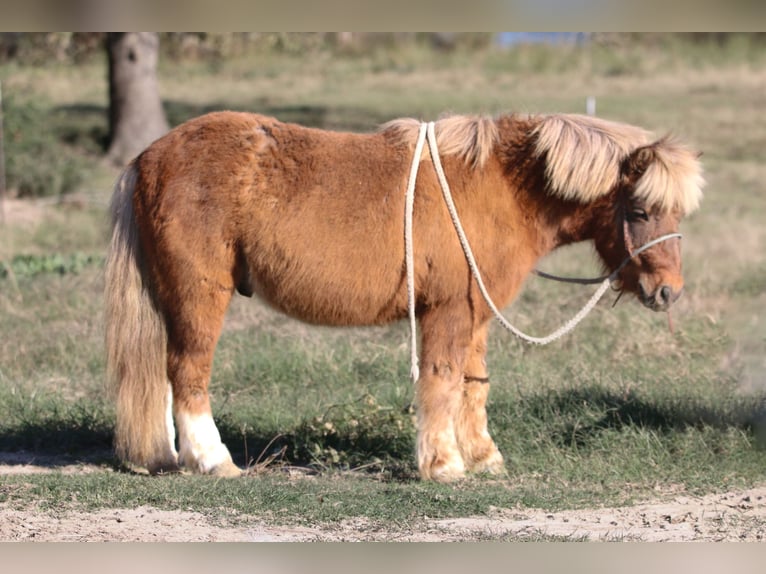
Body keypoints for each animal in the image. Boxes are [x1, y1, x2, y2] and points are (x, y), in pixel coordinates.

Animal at [105, 110, 704, 484]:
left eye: (677, 212)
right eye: (640, 210)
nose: (668, 292)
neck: (500, 190)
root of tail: (149, 158)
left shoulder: (476, 317)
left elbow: (473, 385)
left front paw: (482, 457)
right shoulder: (448, 313)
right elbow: (441, 383)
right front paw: (443, 465)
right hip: (200, 296)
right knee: (188, 374)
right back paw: (212, 460)